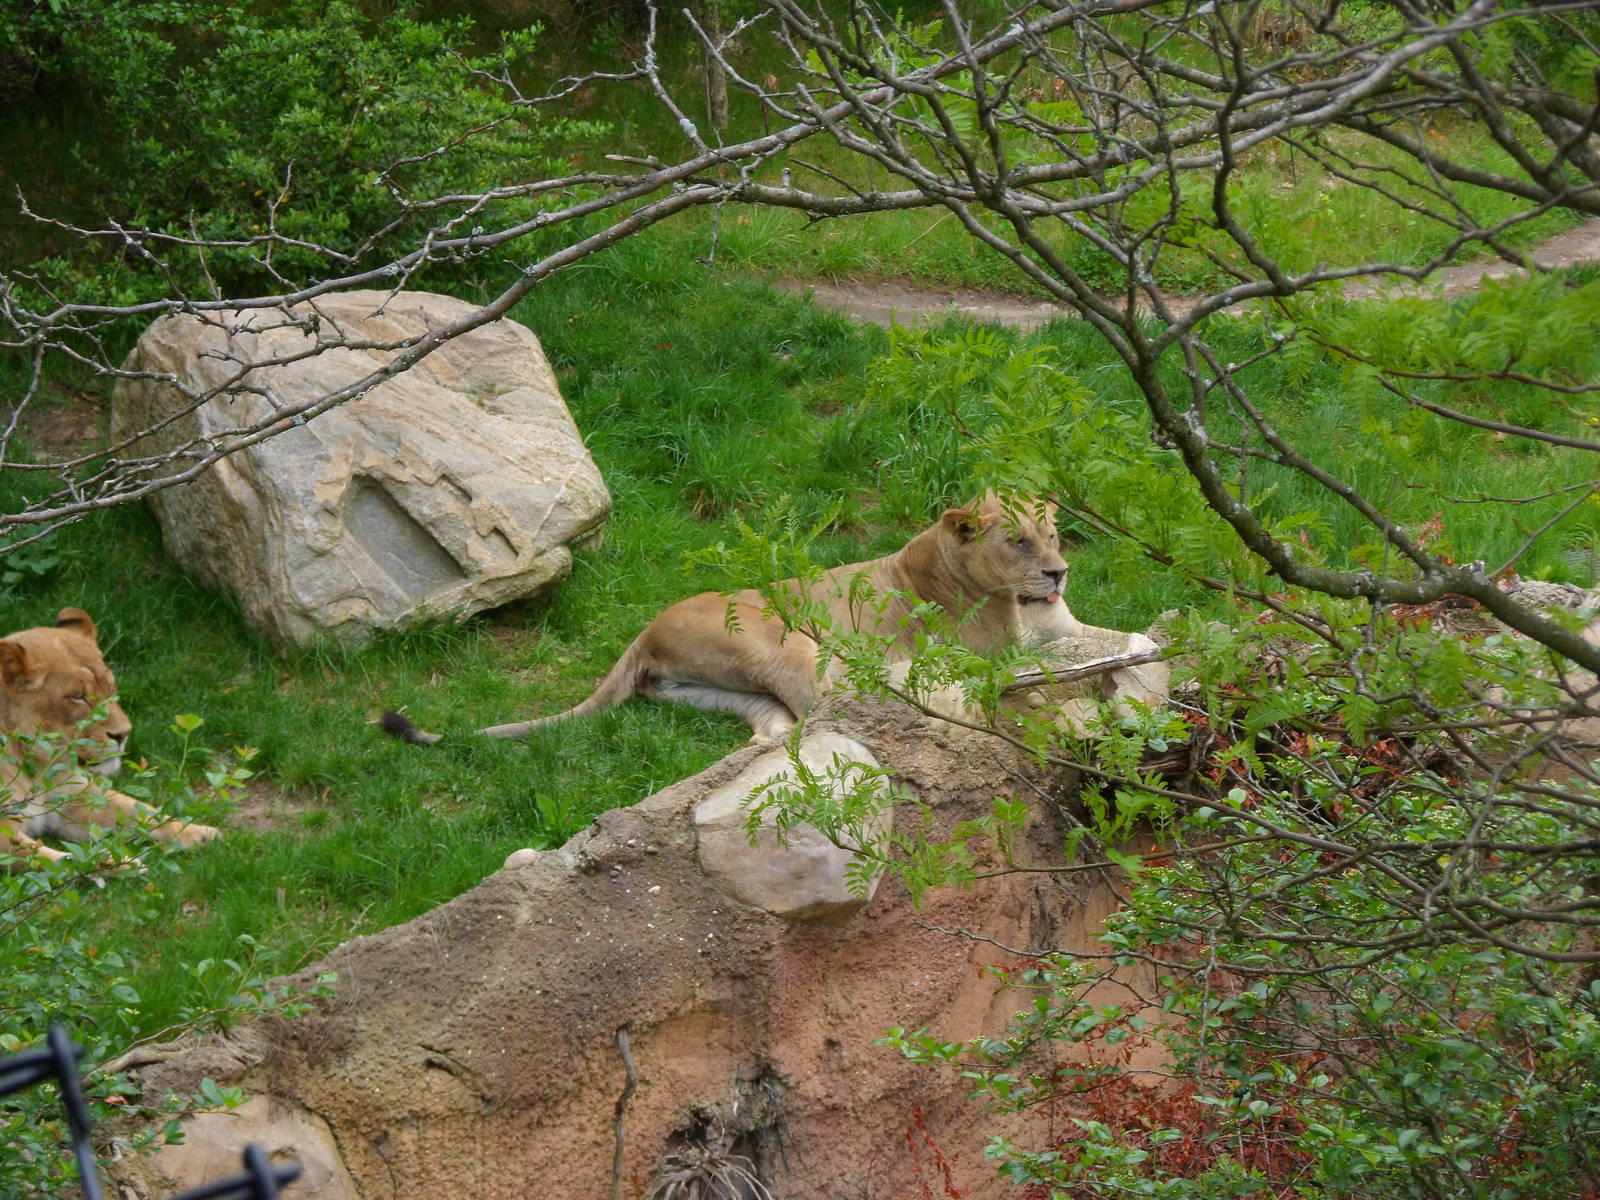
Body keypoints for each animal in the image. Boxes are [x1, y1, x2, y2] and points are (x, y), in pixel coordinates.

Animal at [2, 608, 221, 867]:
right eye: (78, 697)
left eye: (111, 687)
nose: (123, 734)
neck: (39, 769)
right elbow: (57, 861)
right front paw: (118, 865)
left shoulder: (74, 797)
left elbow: (140, 809)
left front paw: (197, 832)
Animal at [383, 493, 1166, 746]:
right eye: (1017, 541)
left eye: (1054, 534)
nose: (1058, 572)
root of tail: (643, 633)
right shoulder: (995, 652)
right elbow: (1064, 661)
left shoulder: (1061, 625)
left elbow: (1110, 637)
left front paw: (1151, 642)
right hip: (793, 647)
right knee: (834, 710)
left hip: (720, 692)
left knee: (775, 732)